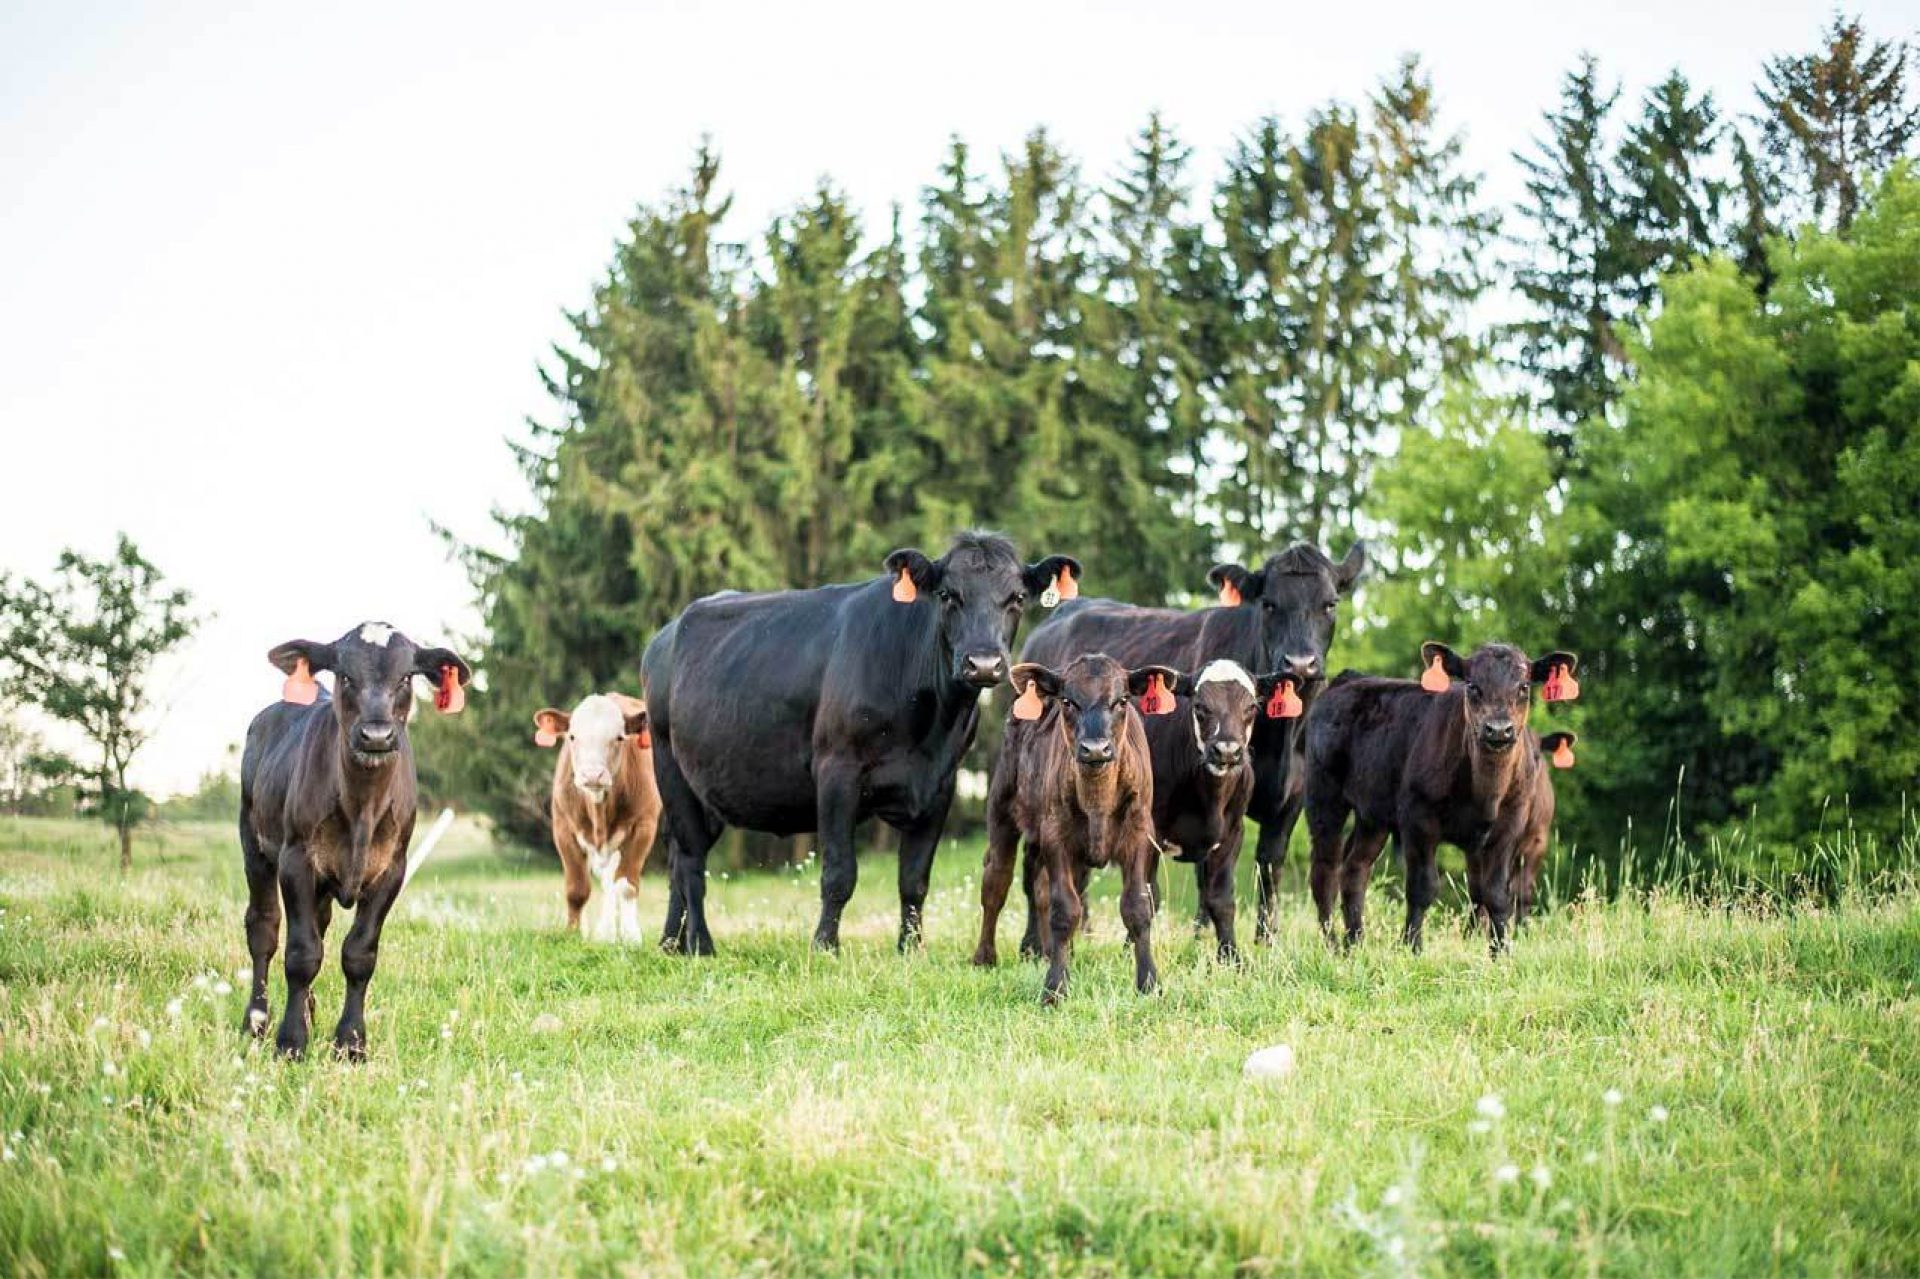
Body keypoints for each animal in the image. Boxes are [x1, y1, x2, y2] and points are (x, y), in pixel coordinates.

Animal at [238, 618, 470, 1052]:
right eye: (345, 674)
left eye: (406, 677)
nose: (376, 735)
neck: (362, 806)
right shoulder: (296, 859)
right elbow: (302, 954)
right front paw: (291, 1041)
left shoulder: (393, 869)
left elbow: (358, 954)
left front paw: (350, 1042)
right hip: (253, 844)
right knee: (264, 928)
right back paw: (256, 1021)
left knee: (320, 924)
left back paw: (308, 1012)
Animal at [533, 691, 660, 941]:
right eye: (572, 736)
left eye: (619, 738)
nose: (592, 775)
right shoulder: (563, 829)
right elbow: (577, 889)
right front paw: (572, 934)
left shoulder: (645, 826)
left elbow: (627, 885)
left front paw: (631, 937)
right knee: (608, 882)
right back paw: (606, 933)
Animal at [637, 526, 1075, 944]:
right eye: (948, 595)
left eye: (1017, 597)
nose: (983, 663)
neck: (927, 732)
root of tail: (665, 634)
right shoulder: (837, 772)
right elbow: (839, 873)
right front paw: (825, 946)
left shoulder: (941, 784)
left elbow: (914, 879)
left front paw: (910, 950)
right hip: (670, 767)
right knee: (691, 862)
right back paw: (700, 944)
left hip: (707, 788)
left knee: (676, 857)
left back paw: (671, 943)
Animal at [975, 652, 1167, 998]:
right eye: (1068, 701)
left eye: (1121, 700)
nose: (1095, 748)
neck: (1097, 801)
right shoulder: (1056, 836)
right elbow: (1065, 910)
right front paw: (1055, 987)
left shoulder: (1139, 833)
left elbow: (1137, 907)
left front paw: (1148, 983)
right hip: (1001, 811)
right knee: (996, 882)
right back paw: (985, 957)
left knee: (1039, 889)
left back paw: (1050, 951)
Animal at [1021, 537, 1367, 937]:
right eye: (1268, 603)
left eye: (1330, 603)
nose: (1299, 664)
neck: (1279, 737)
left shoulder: (1288, 801)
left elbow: (1268, 870)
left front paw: (1263, 938)